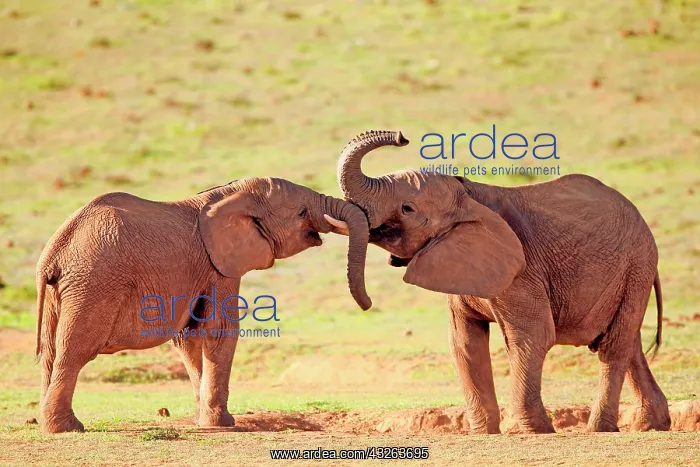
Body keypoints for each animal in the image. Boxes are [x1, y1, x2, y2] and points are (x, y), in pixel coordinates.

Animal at [34, 177, 371, 433]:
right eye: (301, 212)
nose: (366, 305)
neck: (229, 193)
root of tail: (54, 253)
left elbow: (190, 336)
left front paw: (203, 421)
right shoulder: (220, 266)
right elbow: (220, 330)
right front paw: (223, 424)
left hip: (61, 293)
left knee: (50, 354)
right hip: (92, 284)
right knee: (73, 351)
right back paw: (67, 429)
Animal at [330, 129, 671, 434]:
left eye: (407, 208)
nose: (402, 136)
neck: (468, 195)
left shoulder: (522, 270)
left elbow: (532, 336)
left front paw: (537, 432)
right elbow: (465, 342)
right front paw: (484, 433)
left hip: (637, 266)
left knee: (612, 346)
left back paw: (600, 429)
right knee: (629, 344)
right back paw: (650, 425)